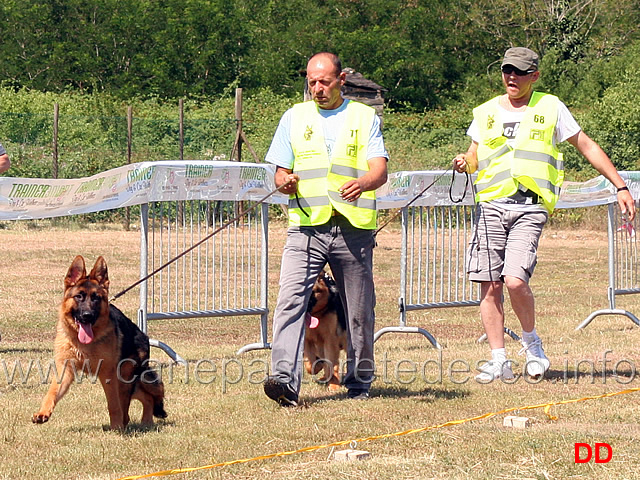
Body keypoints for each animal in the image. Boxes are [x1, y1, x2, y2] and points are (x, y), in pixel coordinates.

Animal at [32, 256, 166, 430]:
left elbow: (113, 404)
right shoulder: (65, 370)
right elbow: (52, 392)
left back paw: (130, 423)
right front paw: (43, 412)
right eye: (79, 297)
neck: (83, 343)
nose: (87, 315)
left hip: (124, 379)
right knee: (144, 397)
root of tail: (143, 335)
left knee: (127, 405)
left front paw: (116, 427)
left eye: (96, 298)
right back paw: (146, 422)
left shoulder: (108, 375)